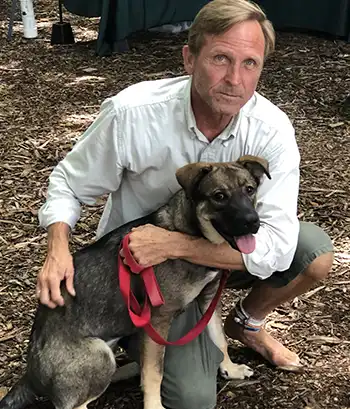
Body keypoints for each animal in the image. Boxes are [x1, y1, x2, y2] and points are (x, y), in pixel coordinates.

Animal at [0, 154, 270, 408]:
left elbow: (219, 338)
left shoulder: (209, 298)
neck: (187, 232)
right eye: (219, 196)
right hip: (99, 355)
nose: (253, 222)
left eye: (249, 189)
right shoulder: (159, 319)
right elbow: (154, 373)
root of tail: (31, 375)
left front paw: (230, 368)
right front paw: (154, 405)